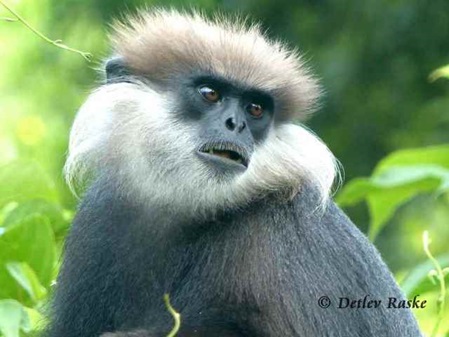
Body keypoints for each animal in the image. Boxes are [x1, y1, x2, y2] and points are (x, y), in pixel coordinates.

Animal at [44, 9, 420, 334]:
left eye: (255, 109)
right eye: (210, 94)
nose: (235, 124)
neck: (180, 207)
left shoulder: (284, 229)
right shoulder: (99, 216)